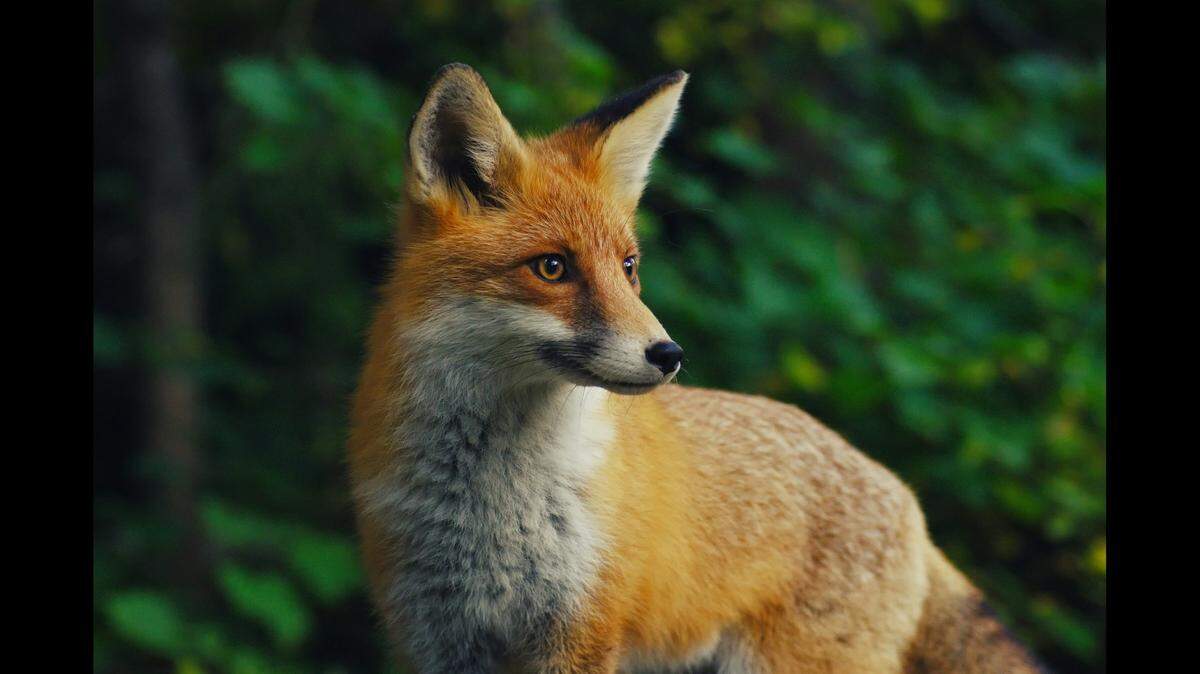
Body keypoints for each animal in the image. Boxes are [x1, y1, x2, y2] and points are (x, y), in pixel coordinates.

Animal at [348, 63, 1048, 674]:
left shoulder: (583, 633)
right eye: (552, 267)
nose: (668, 354)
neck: (491, 507)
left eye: (629, 267)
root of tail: (904, 497)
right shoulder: (436, 637)